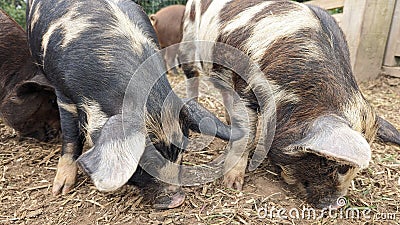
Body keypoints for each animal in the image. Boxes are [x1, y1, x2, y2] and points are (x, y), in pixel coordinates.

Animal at [27, 0, 241, 209]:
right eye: (144, 160)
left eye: (181, 150)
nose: (177, 199)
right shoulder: (63, 93)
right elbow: (71, 136)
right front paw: (60, 190)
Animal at [180, 0, 400, 209]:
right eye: (338, 166)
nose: (335, 205)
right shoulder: (245, 87)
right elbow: (246, 136)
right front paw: (234, 185)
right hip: (188, 39)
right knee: (192, 77)